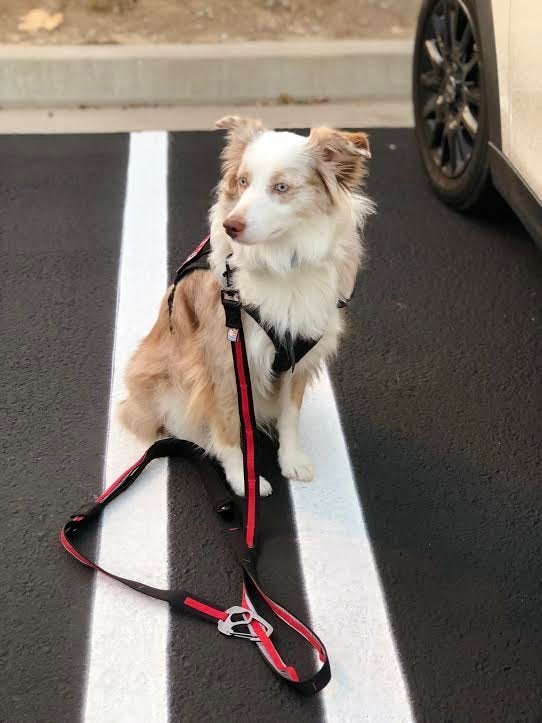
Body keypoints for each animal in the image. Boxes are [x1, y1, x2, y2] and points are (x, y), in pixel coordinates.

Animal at [118, 116, 374, 494]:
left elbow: (290, 417)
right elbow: (227, 428)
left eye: (281, 187)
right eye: (243, 181)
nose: (231, 226)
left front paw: (292, 460)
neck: (282, 261)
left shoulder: (299, 356)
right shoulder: (224, 362)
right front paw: (242, 479)